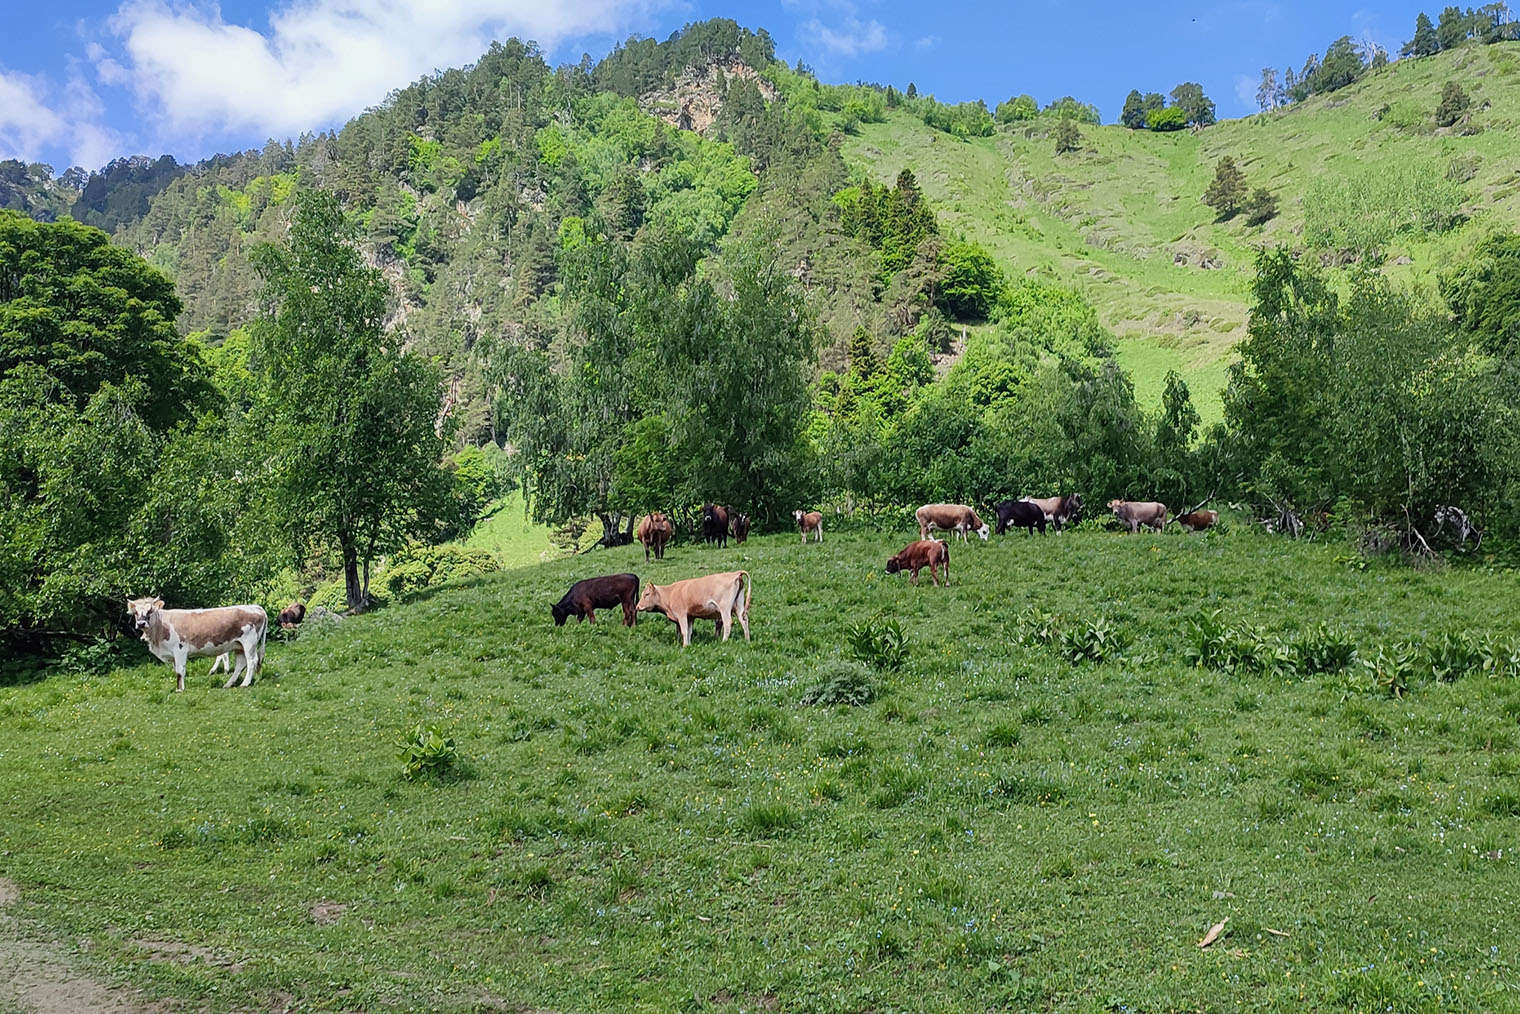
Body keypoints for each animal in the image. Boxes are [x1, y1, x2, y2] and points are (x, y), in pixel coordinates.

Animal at [128, 598, 270, 693]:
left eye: (150, 611)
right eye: (135, 612)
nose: (140, 624)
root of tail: (256, 607)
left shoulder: (180, 650)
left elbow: (180, 671)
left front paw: (180, 690)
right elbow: (177, 671)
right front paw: (179, 687)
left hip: (249, 643)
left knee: (252, 661)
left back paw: (245, 684)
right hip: (238, 645)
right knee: (240, 664)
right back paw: (228, 684)